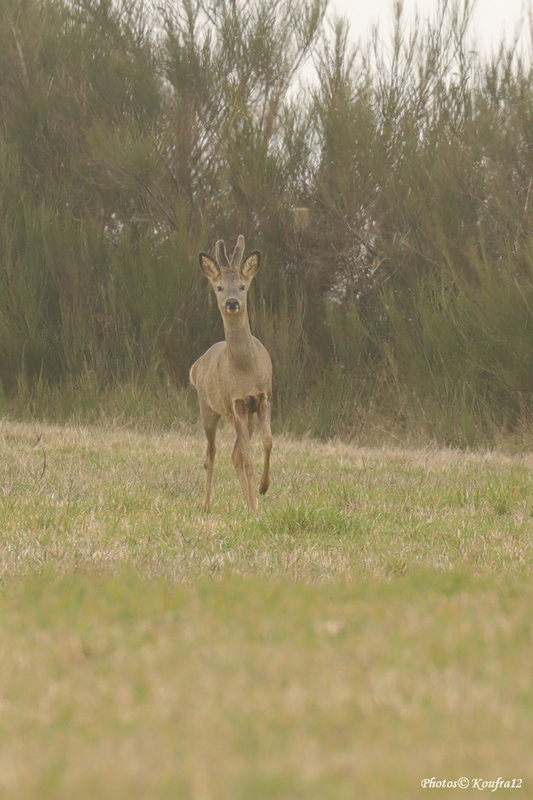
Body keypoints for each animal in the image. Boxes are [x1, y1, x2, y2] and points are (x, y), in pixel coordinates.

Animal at [189, 236, 272, 512]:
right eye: (220, 287)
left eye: (243, 286)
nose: (232, 302)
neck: (246, 370)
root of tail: (197, 365)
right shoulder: (236, 402)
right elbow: (247, 459)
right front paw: (257, 501)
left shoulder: (263, 398)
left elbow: (267, 443)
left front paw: (263, 488)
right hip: (209, 408)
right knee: (211, 455)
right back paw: (206, 505)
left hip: (245, 417)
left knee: (234, 454)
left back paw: (249, 502)